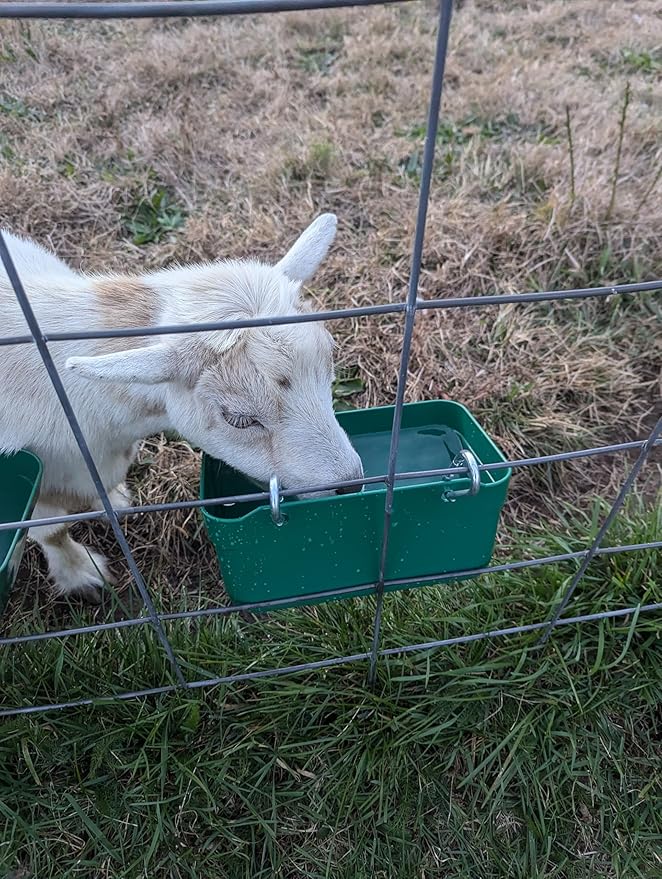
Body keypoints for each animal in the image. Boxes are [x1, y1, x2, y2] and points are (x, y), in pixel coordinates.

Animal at [0, 214, 363, 602]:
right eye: (238, 418)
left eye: (329, 369)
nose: (351, 484)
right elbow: (52, 530)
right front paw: (82, 574)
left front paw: (115, 499)